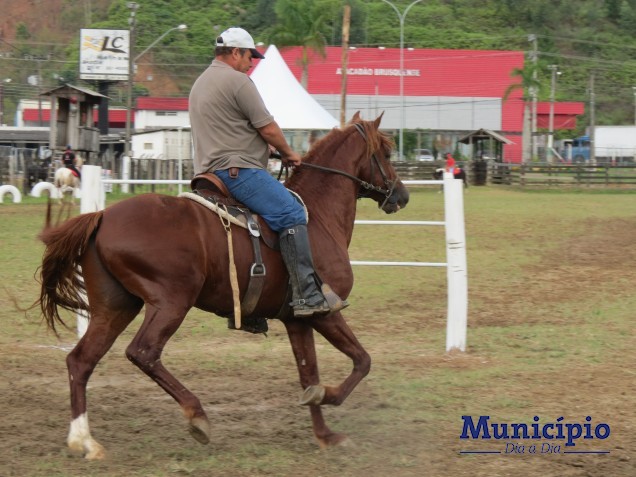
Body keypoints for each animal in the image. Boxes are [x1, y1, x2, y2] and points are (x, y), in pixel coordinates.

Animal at [37, 111, 410, 458]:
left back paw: (84, 440)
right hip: (171, 303)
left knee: (81, 361)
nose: (402, 195)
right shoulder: (326, 313)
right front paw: (328, 397)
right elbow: (361, 360)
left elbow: (309, 373)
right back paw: (197, 416)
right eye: (386, 152)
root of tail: (102, 217)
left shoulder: (297, 320)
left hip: (116, 307)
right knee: (143, 352)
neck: (317, 216)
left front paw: (324, 434)